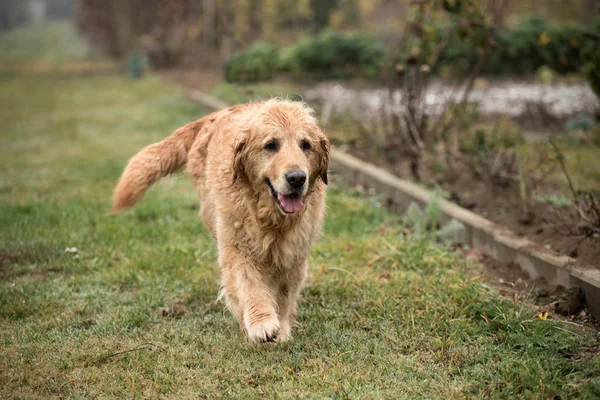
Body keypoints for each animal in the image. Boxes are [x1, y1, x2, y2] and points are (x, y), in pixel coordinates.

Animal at [111, 98, 328, 342]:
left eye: (306, 145)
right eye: (271, 145)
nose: (297, 178)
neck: (268, 218)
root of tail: (212, 116)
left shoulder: (293, 257)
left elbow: (284, 295)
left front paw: (281, 329)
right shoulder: (237, 248)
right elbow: (249, 284)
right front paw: (260, 322)